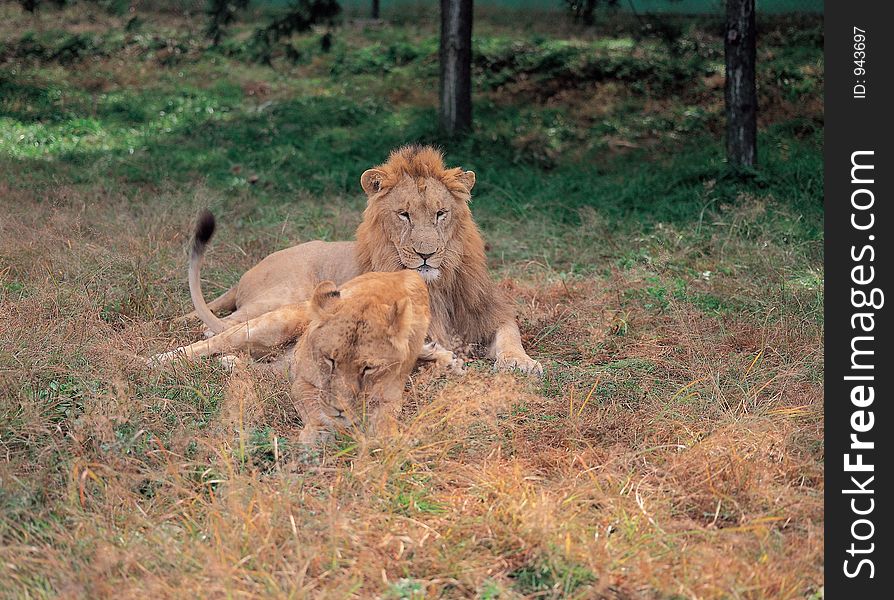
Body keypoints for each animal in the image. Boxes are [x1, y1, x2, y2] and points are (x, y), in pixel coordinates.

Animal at [192, 145, 544, 376]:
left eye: (440, 213)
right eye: (404, 215)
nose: (426, 254)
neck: (434, 285)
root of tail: (247, 274)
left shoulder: (486, 312)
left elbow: (509, 334)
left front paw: (522, 362)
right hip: (282, 296)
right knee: (220, 329)